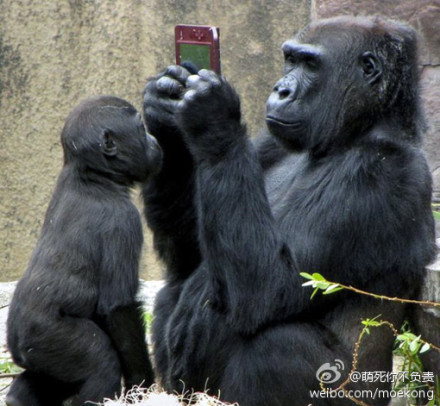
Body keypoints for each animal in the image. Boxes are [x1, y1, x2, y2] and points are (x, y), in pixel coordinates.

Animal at [6, 96, 161, 406]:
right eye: (140, 129)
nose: (153, 139)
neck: (93, 175)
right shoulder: (123, 221)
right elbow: (118, 308)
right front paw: (142, 385)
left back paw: (17, 398)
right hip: (48, 335)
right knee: (101, 364)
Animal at [142, 16, 436, 406]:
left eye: (310, 64)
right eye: (290, 60)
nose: (280, 90)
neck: (354, 132)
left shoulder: (379, 172)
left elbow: (269, 288)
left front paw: (211, 115)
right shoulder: (270, 142)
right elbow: (189, 254)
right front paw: (164, 110)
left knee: (275, 344)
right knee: (174, 286)